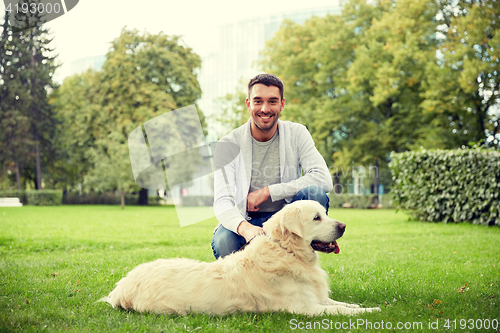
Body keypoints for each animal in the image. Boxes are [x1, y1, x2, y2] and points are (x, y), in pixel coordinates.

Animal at [99, 198, 380, 316]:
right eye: (316, 218)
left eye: (325, 213)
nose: (343, 226)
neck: (287, 252)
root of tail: (122, 286)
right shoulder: (305, 308)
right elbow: (340, 311)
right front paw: (374, 311)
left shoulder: (315, 298)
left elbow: (341, 304)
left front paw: (364, 306)